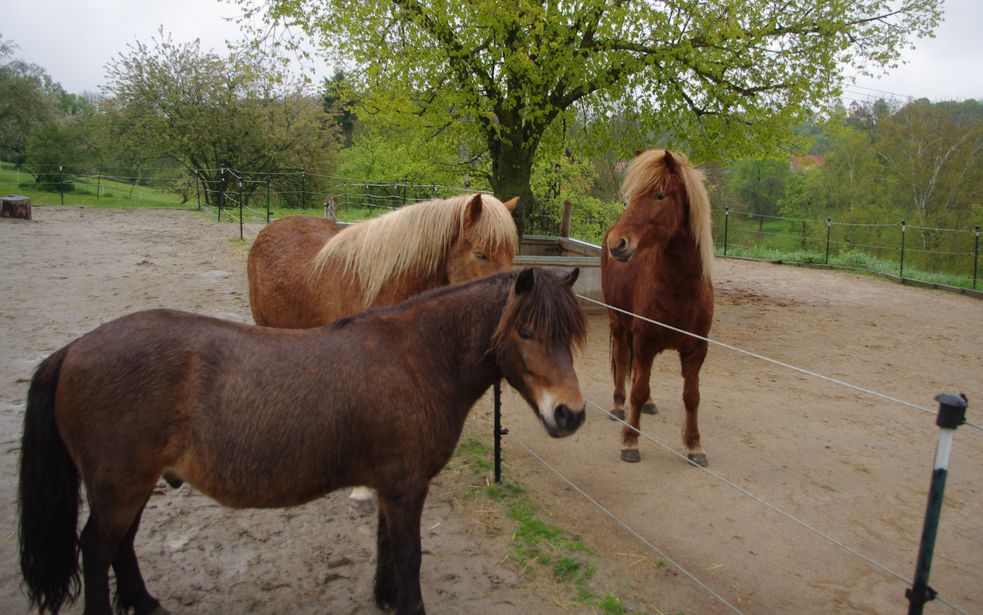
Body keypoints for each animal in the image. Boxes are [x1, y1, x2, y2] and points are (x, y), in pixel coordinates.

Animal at [17, 268, 584, 612]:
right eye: (526, 332)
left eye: (569, 335)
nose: (570, 414)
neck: (416, 358)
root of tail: (72, 350)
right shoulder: (405, 486)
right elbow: (409, 555)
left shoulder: (390, 484)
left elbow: (385, 545)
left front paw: (384, 597)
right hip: (120, 485)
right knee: (96, 549)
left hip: (130, 485)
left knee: (121, 543)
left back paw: (146, 601)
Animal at [600, 149, 716, 466]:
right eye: (631, 196)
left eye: (659, 195)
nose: (618, 243)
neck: (681, 288)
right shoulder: (644, 341)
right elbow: (637, 389)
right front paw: (630, 442)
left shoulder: (696, 350)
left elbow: (692, 396)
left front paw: (695, 446)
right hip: (618, 322)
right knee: (622, 360)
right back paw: (618, 406)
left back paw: (649, 404)